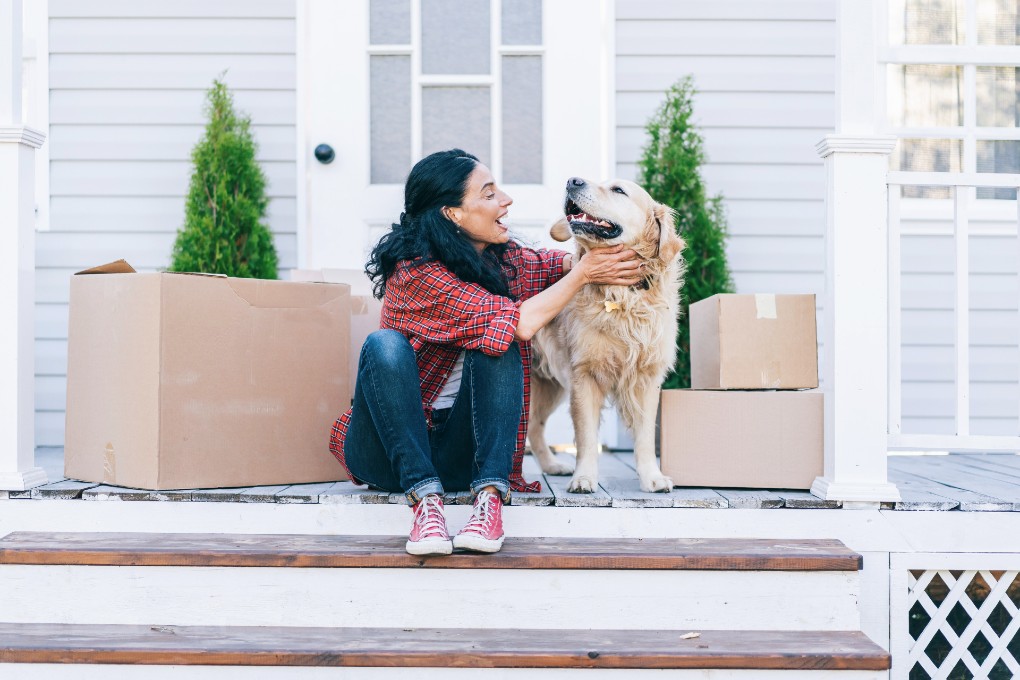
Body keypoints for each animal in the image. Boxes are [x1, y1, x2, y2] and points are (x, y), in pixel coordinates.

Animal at [526, 178, 685, 491]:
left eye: (618, 190)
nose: (572, 180)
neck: (622, 297)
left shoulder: (647, 378)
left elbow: (645, 436)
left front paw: (652, 477)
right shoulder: (584, 375)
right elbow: (587, 437)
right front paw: (584, 478)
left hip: (548, 384)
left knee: (534, 426)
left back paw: (551, 465)